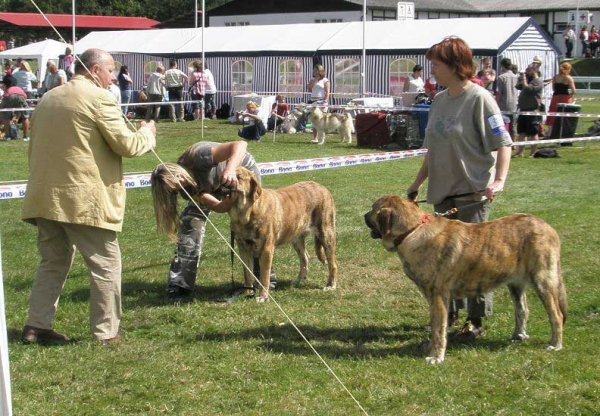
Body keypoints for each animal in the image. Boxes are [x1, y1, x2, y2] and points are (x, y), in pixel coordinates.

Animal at [229, 167, 338, 302]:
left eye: (238, 176)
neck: (248, 213)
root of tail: (323, 188)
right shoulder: (243, 248)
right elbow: (247, 273)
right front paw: (247, 292)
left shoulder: (266, 250)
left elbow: (264, 276)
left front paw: (263, 297)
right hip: (297, 238)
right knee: (305, 258)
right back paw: (298, 280)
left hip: (326, 234)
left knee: (332, 262)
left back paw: (331, 285)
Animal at [366, 197, 568, 362]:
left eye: (373, 208)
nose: (363, 215)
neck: (412, 231)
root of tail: (548, 227)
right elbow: (437, 326)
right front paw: (430, 348)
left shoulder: (438, 296)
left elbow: (438, 329)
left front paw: (436, 356)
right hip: (516, 285)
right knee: (522, 310)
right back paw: (518, 335)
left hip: (543, 280)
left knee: (556, 315)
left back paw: (555, 344)